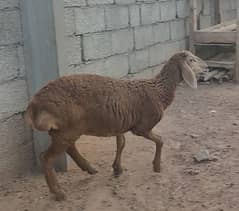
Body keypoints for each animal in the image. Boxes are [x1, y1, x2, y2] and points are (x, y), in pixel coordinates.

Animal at [24, 50, 207, 200]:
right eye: (191, 60)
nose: (206, 67)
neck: (159, 91)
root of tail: (35, 103)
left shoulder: (121, 124)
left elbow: (121, 144)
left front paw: (117, 169)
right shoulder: (141, 127)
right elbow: (160, 140)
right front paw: (157, 166)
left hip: (66, 129)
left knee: (69, 148)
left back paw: (88, 168)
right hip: (68, 128)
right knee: (46, 157)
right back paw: (58, 192)